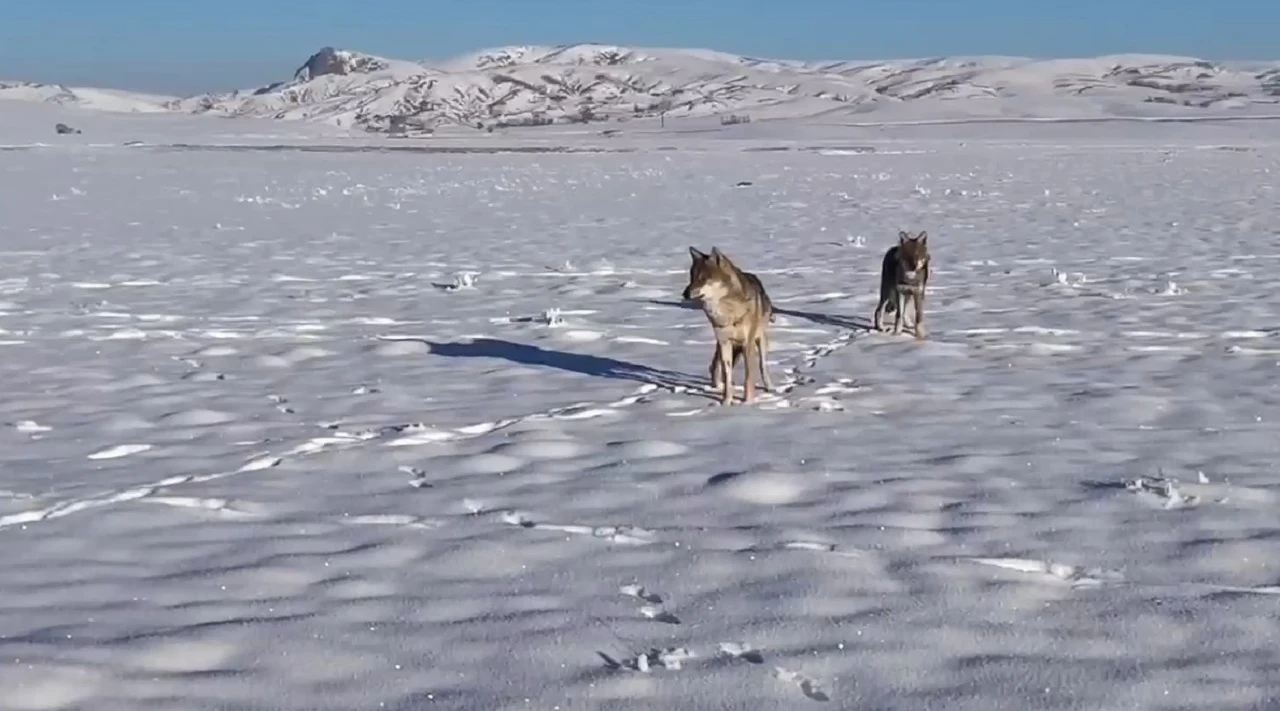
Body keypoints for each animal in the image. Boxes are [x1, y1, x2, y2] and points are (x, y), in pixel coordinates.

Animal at [686, 247, 773, 407]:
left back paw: (770, 387)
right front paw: (726, 403)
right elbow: (727, 376)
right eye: (692, 278)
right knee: (715, 366)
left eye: (703, 278)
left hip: (760, 342)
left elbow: (749, 377)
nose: (685, 294)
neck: (727, 312)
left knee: (762, 366)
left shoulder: (747, 344)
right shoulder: (724, 343)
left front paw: (748, 403)